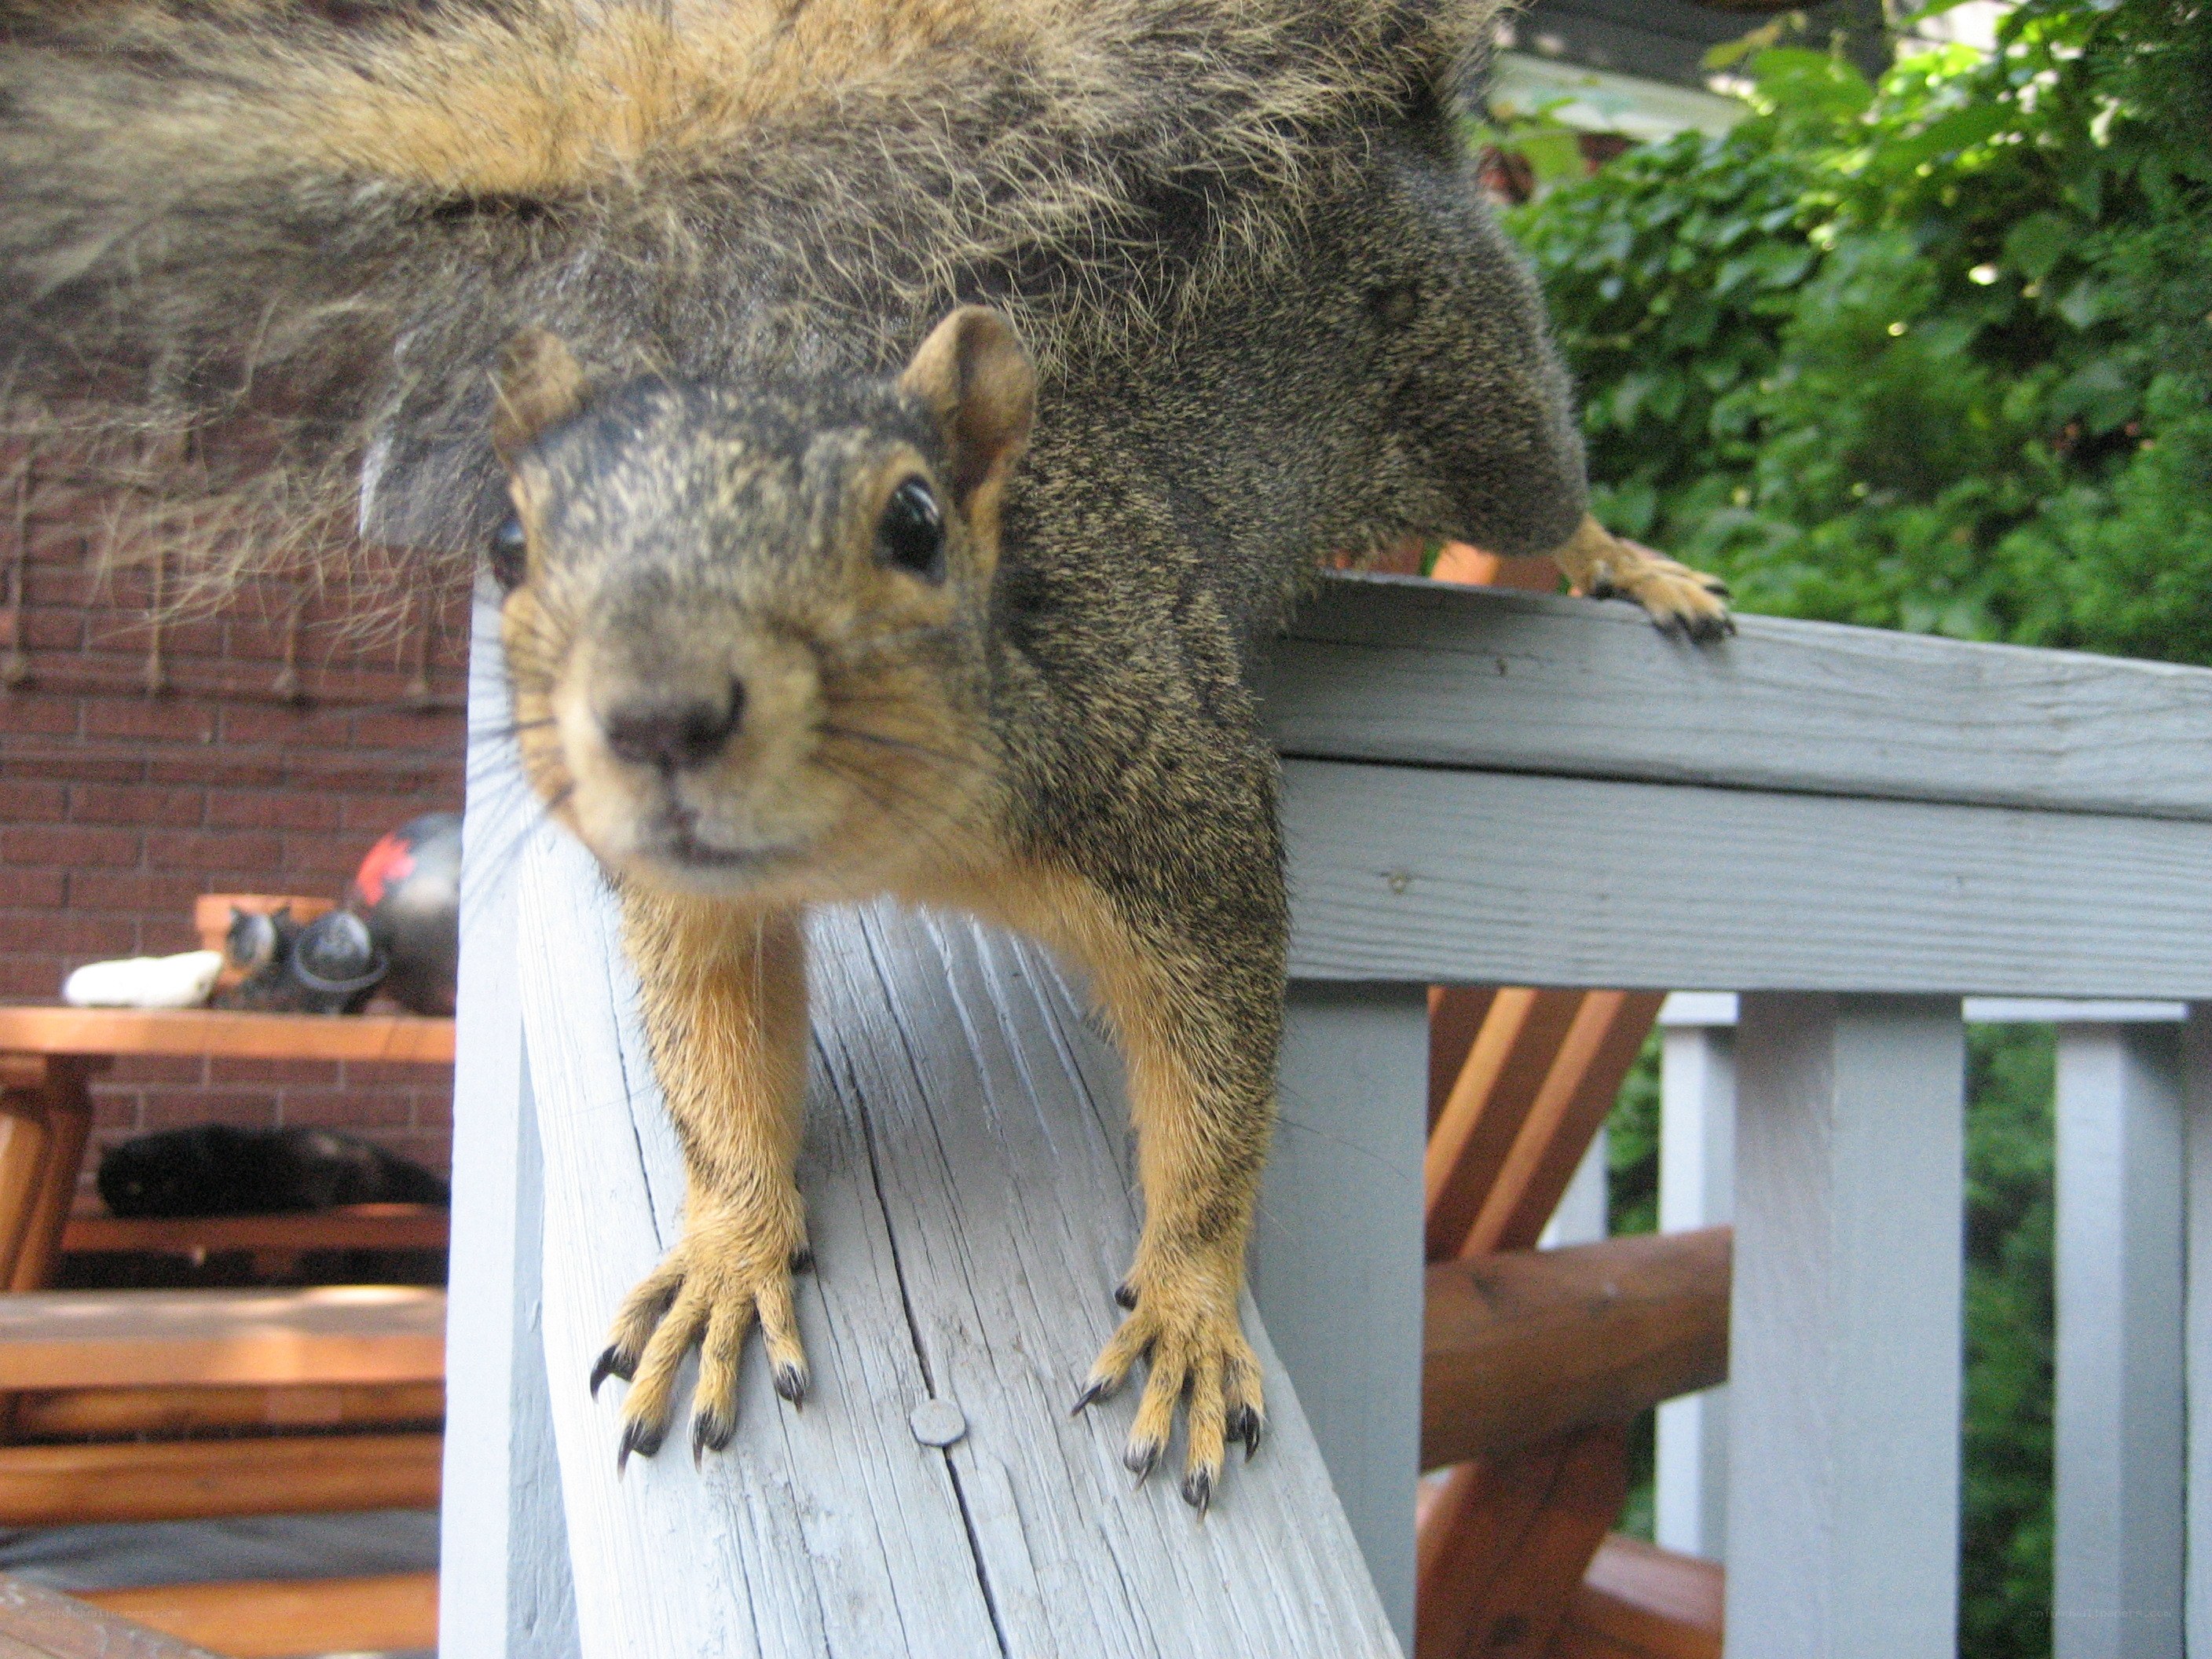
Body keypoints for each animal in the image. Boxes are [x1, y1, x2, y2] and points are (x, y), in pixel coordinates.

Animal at [0, 0, 1730, 1513]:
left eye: (910, 522)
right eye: (507, 542)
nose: (660, 716)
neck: (900, 835)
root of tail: (1382, 127)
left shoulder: (1178, 811)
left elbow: (1217, 1081)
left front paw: (1185, 1297)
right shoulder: (696, 900)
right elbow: (714, 1065)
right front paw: (725, 1253)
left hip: (1471, 370)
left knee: (1540, 483)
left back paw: (1631, 561)